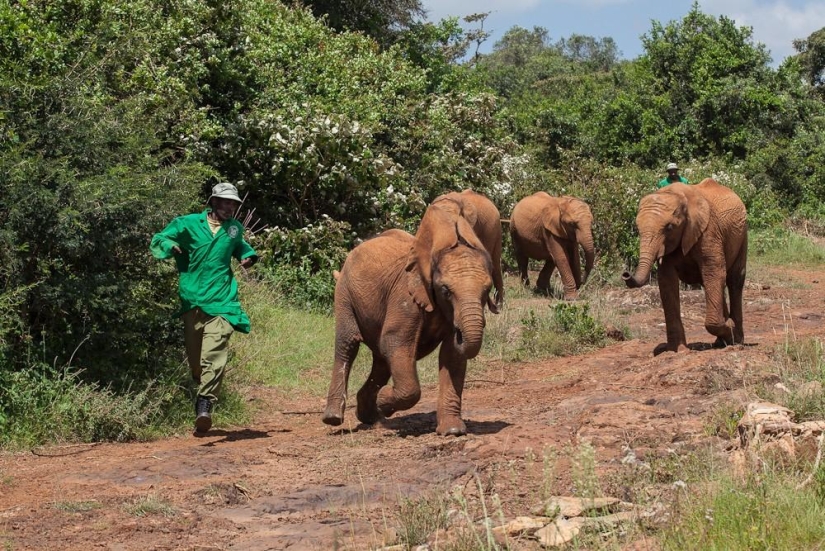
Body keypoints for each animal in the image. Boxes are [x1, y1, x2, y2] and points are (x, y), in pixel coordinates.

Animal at [322, 198, 498, 436]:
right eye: (446, 291)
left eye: (486, 290)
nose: (460, 333)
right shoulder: (405, 295)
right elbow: (396, 341)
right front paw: (385, 400)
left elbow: (451, 355)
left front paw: (452, 431)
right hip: (344, 293)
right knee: (348, 345)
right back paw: (334, 418)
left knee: (381, 360)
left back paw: (373, 419)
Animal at [622, 179, 747, 352]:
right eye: (637, 228)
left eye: (669, 228)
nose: (626, 274)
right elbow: (667, 281)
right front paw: (678, 350)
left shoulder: (709, 232)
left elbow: (714, 273)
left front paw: (731, 331)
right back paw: (721, 341)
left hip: (742, 234)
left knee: (734, 280)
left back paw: (737, 339)